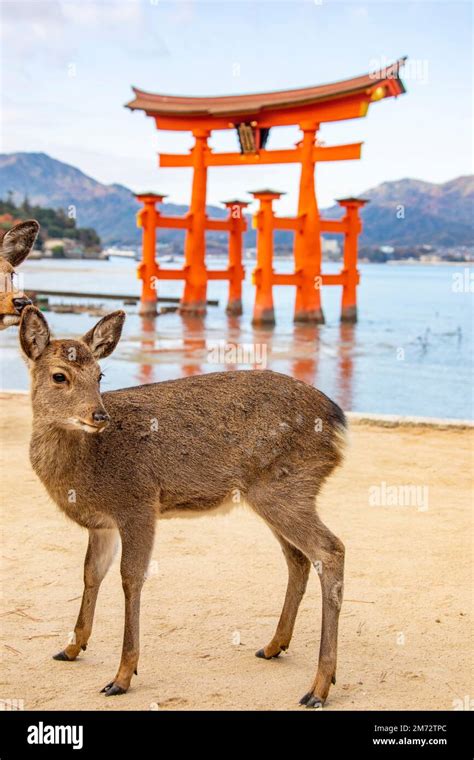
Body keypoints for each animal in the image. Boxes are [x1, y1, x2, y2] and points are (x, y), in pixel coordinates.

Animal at [20, 302, 346, 708]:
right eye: (59, 376)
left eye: (99, 375)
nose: (99, 416)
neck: (84, 470)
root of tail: (338, 422)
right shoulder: (102, 523)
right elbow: (91, 572)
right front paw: (71, 647)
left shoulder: (138, 502)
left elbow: (130, 577)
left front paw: (122, 676)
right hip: (274, 494)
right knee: (298, 558)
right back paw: (273, 646)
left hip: (287, 487)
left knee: (330, 550)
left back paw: (319, 686)